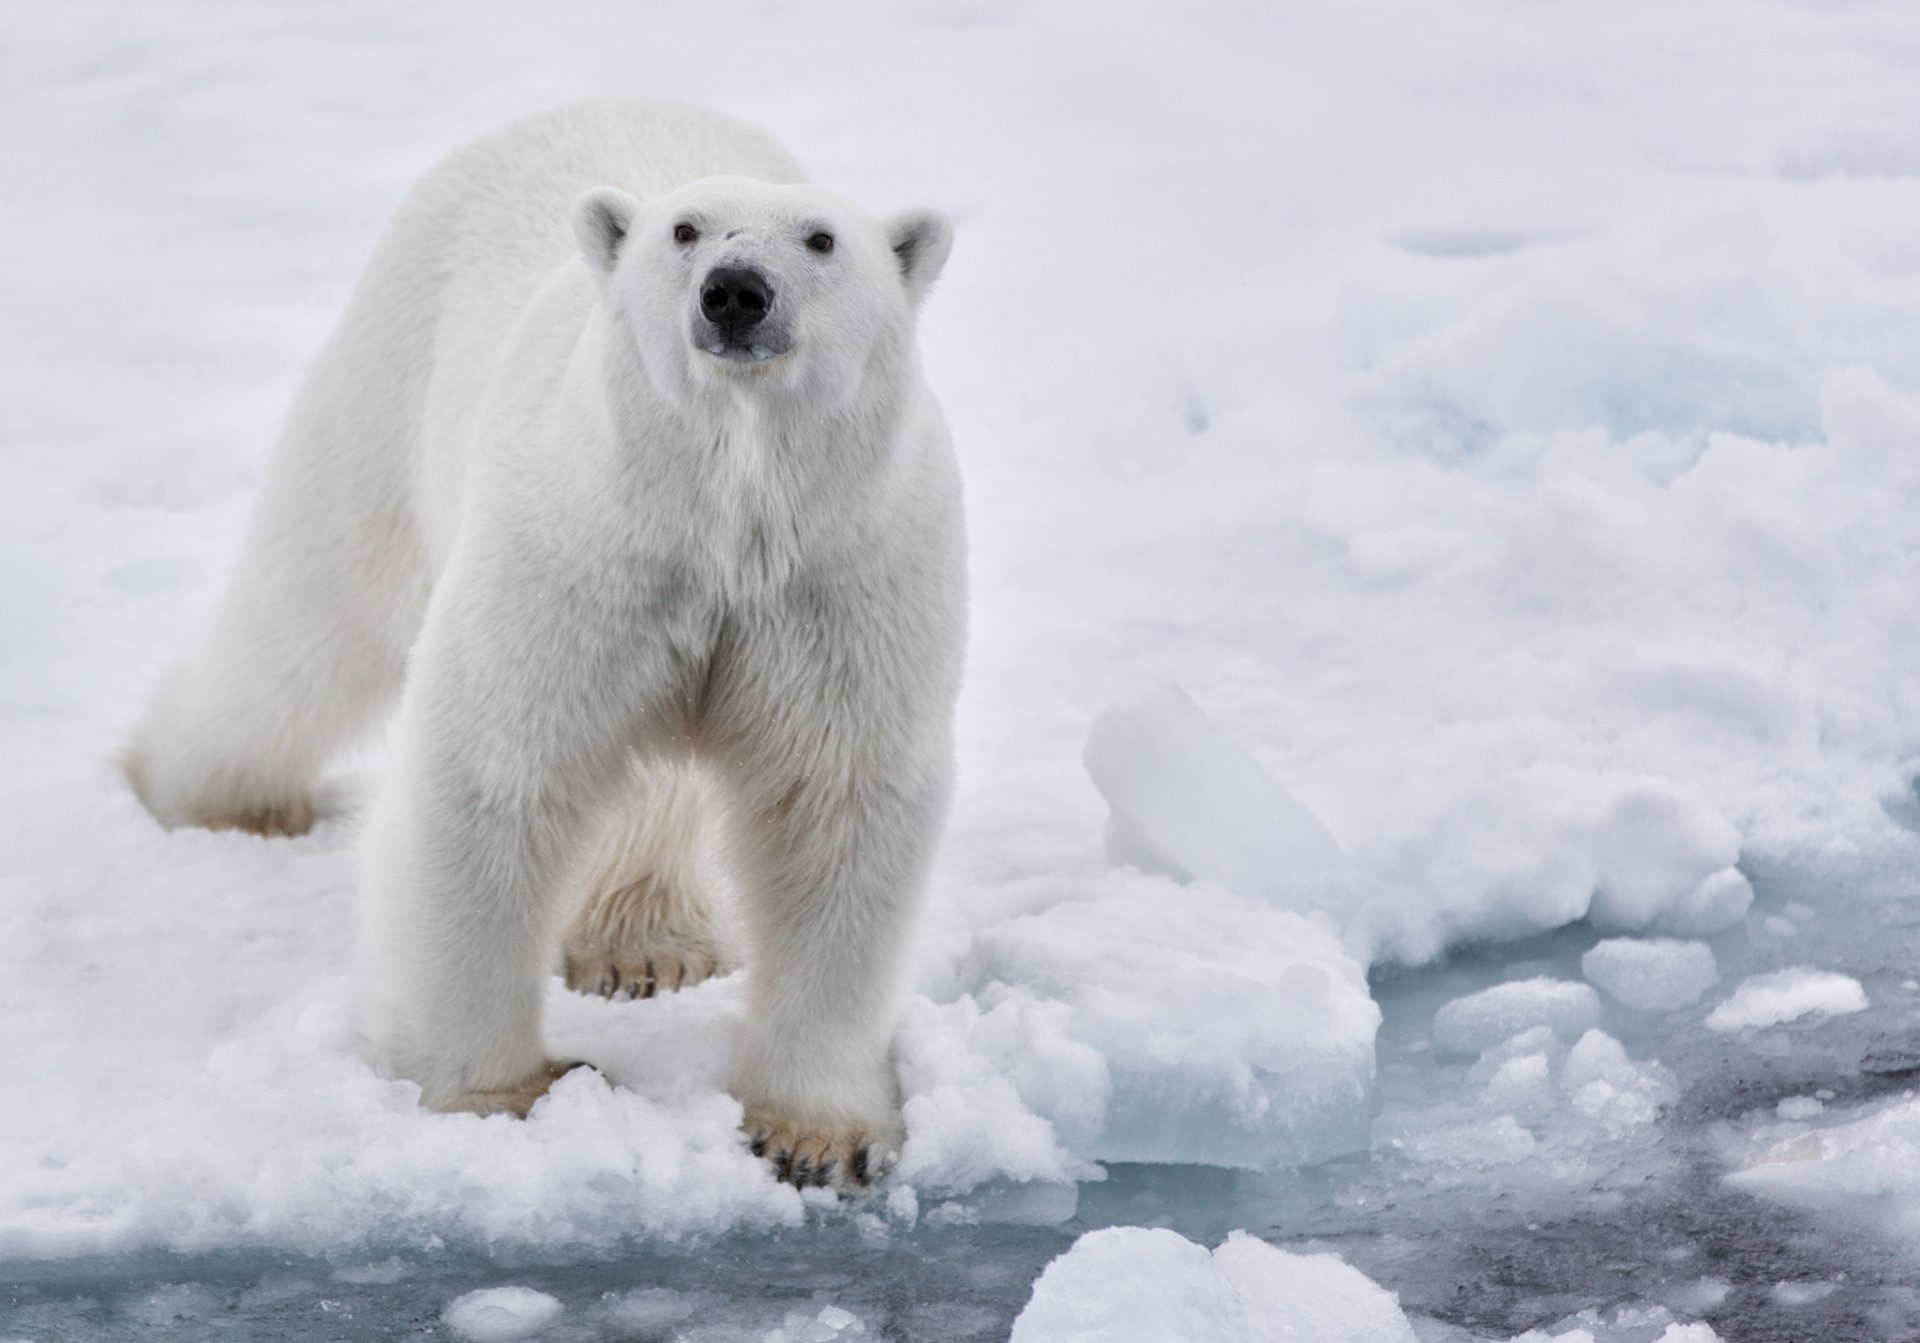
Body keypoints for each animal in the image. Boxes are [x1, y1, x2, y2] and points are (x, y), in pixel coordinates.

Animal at [122, 99, 966, 1191]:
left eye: (823, 240)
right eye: (684, 230)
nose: (735, 291)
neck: (721, 515)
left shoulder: (836, 579)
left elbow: (838, 804)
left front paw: (817, 1136)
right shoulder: (579, 548)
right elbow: (494, 769)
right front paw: (504, 1093)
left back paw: (645, 944)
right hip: (392, 364)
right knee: (308, 619)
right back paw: (210, 794)